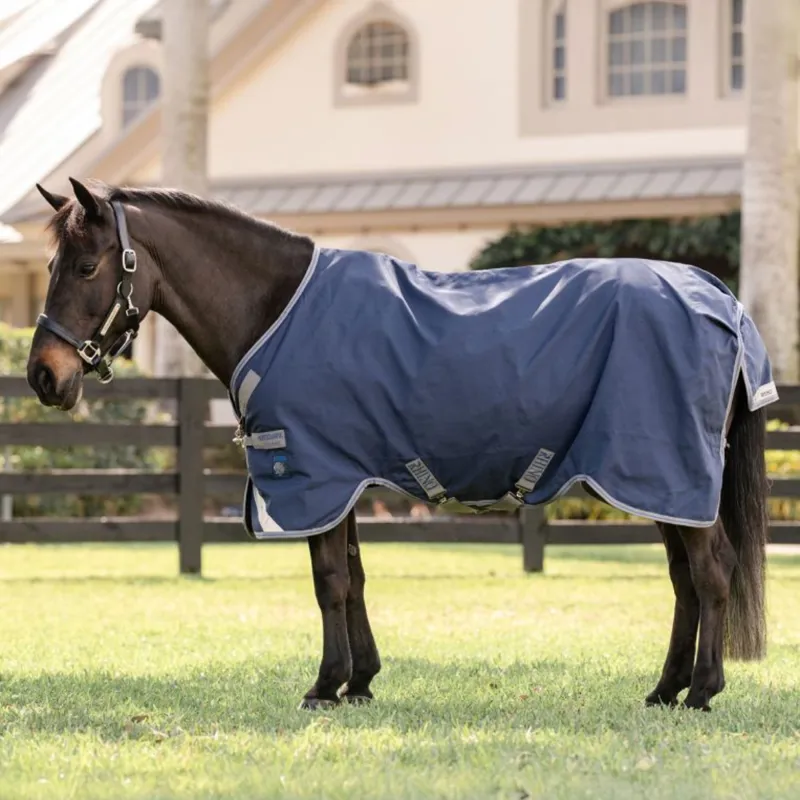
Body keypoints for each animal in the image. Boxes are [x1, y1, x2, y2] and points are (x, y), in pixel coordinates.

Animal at [26, 177, 774, 713]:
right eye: (52, 264)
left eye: (87, 266)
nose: (42, 375)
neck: (274, 308)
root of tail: (720, 297)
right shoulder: (344, 480)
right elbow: (354, 577)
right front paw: (360, 681)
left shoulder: (314, 475)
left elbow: (328, 582)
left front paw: (324, 686)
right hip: (658, 482)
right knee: (684, 579)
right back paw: (665, 690)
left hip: (666, 471)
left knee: (711, 571)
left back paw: (702, 691)